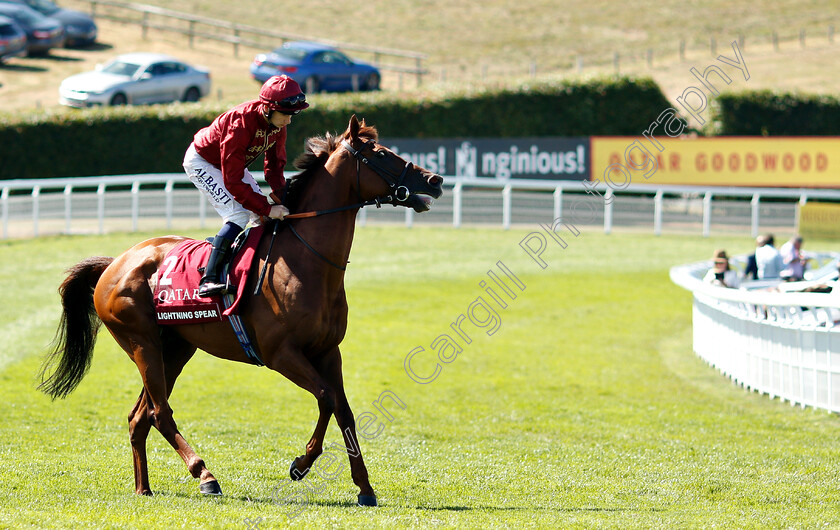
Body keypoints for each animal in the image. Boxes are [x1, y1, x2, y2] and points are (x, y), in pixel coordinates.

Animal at [37, 115, 446, 504]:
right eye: (381, 154)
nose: (435, 179)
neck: (306, 261)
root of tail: (114, 263)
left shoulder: (329, 351)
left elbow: (343, 410)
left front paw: (364, 486)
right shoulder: (281, 353)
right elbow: (327, 398)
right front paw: (301, 463)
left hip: (175, 348)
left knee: (140, 416)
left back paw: (144, 488)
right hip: (141, 342)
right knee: (159, 412)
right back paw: (204, 474)